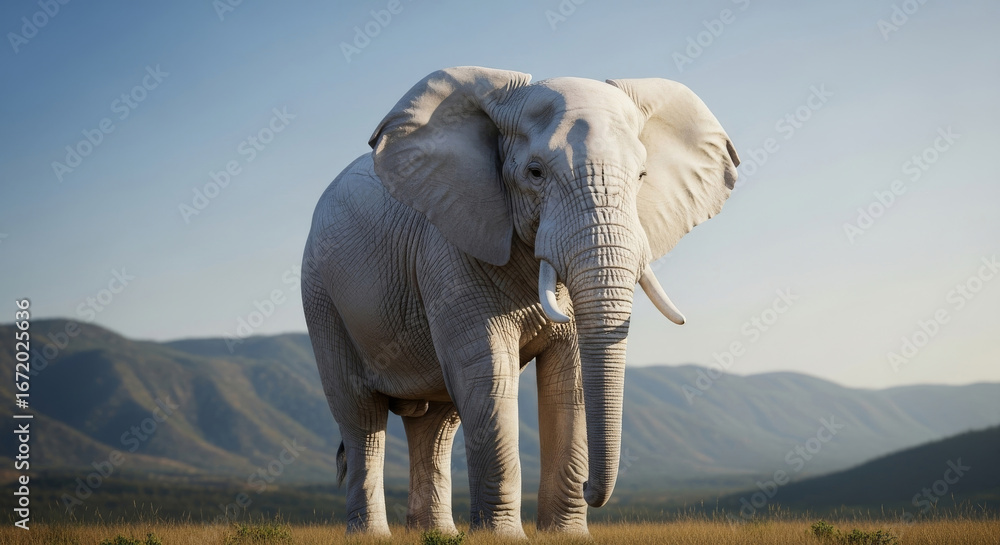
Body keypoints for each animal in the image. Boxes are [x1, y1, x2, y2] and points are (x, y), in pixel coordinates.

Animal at [301, 66, 739, 538]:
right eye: (535, 172)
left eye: (641, 176)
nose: (590, 487)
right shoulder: (451, 244)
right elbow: (489, 373)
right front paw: (502, 538)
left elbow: (570, 380)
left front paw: (566, 536)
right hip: (322, 295)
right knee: (361, 416)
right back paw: (373, 534)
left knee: (436, 423)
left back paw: (438, 534)